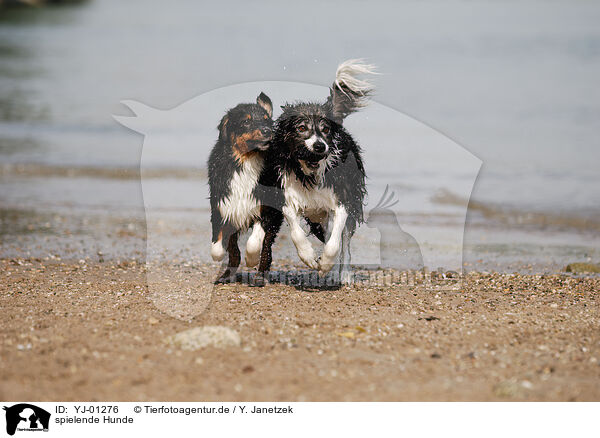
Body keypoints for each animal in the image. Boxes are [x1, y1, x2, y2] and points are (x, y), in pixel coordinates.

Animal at [255, 60, 378, 286]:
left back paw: (343, 274)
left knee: (344, 242)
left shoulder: (342, 200)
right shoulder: (288, 196)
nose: (320, 146)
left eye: (325, 130)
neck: (309, 173)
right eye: (301, 128)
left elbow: (335, 242)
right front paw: (309, 257)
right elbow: (296, 233)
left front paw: (327, 263)